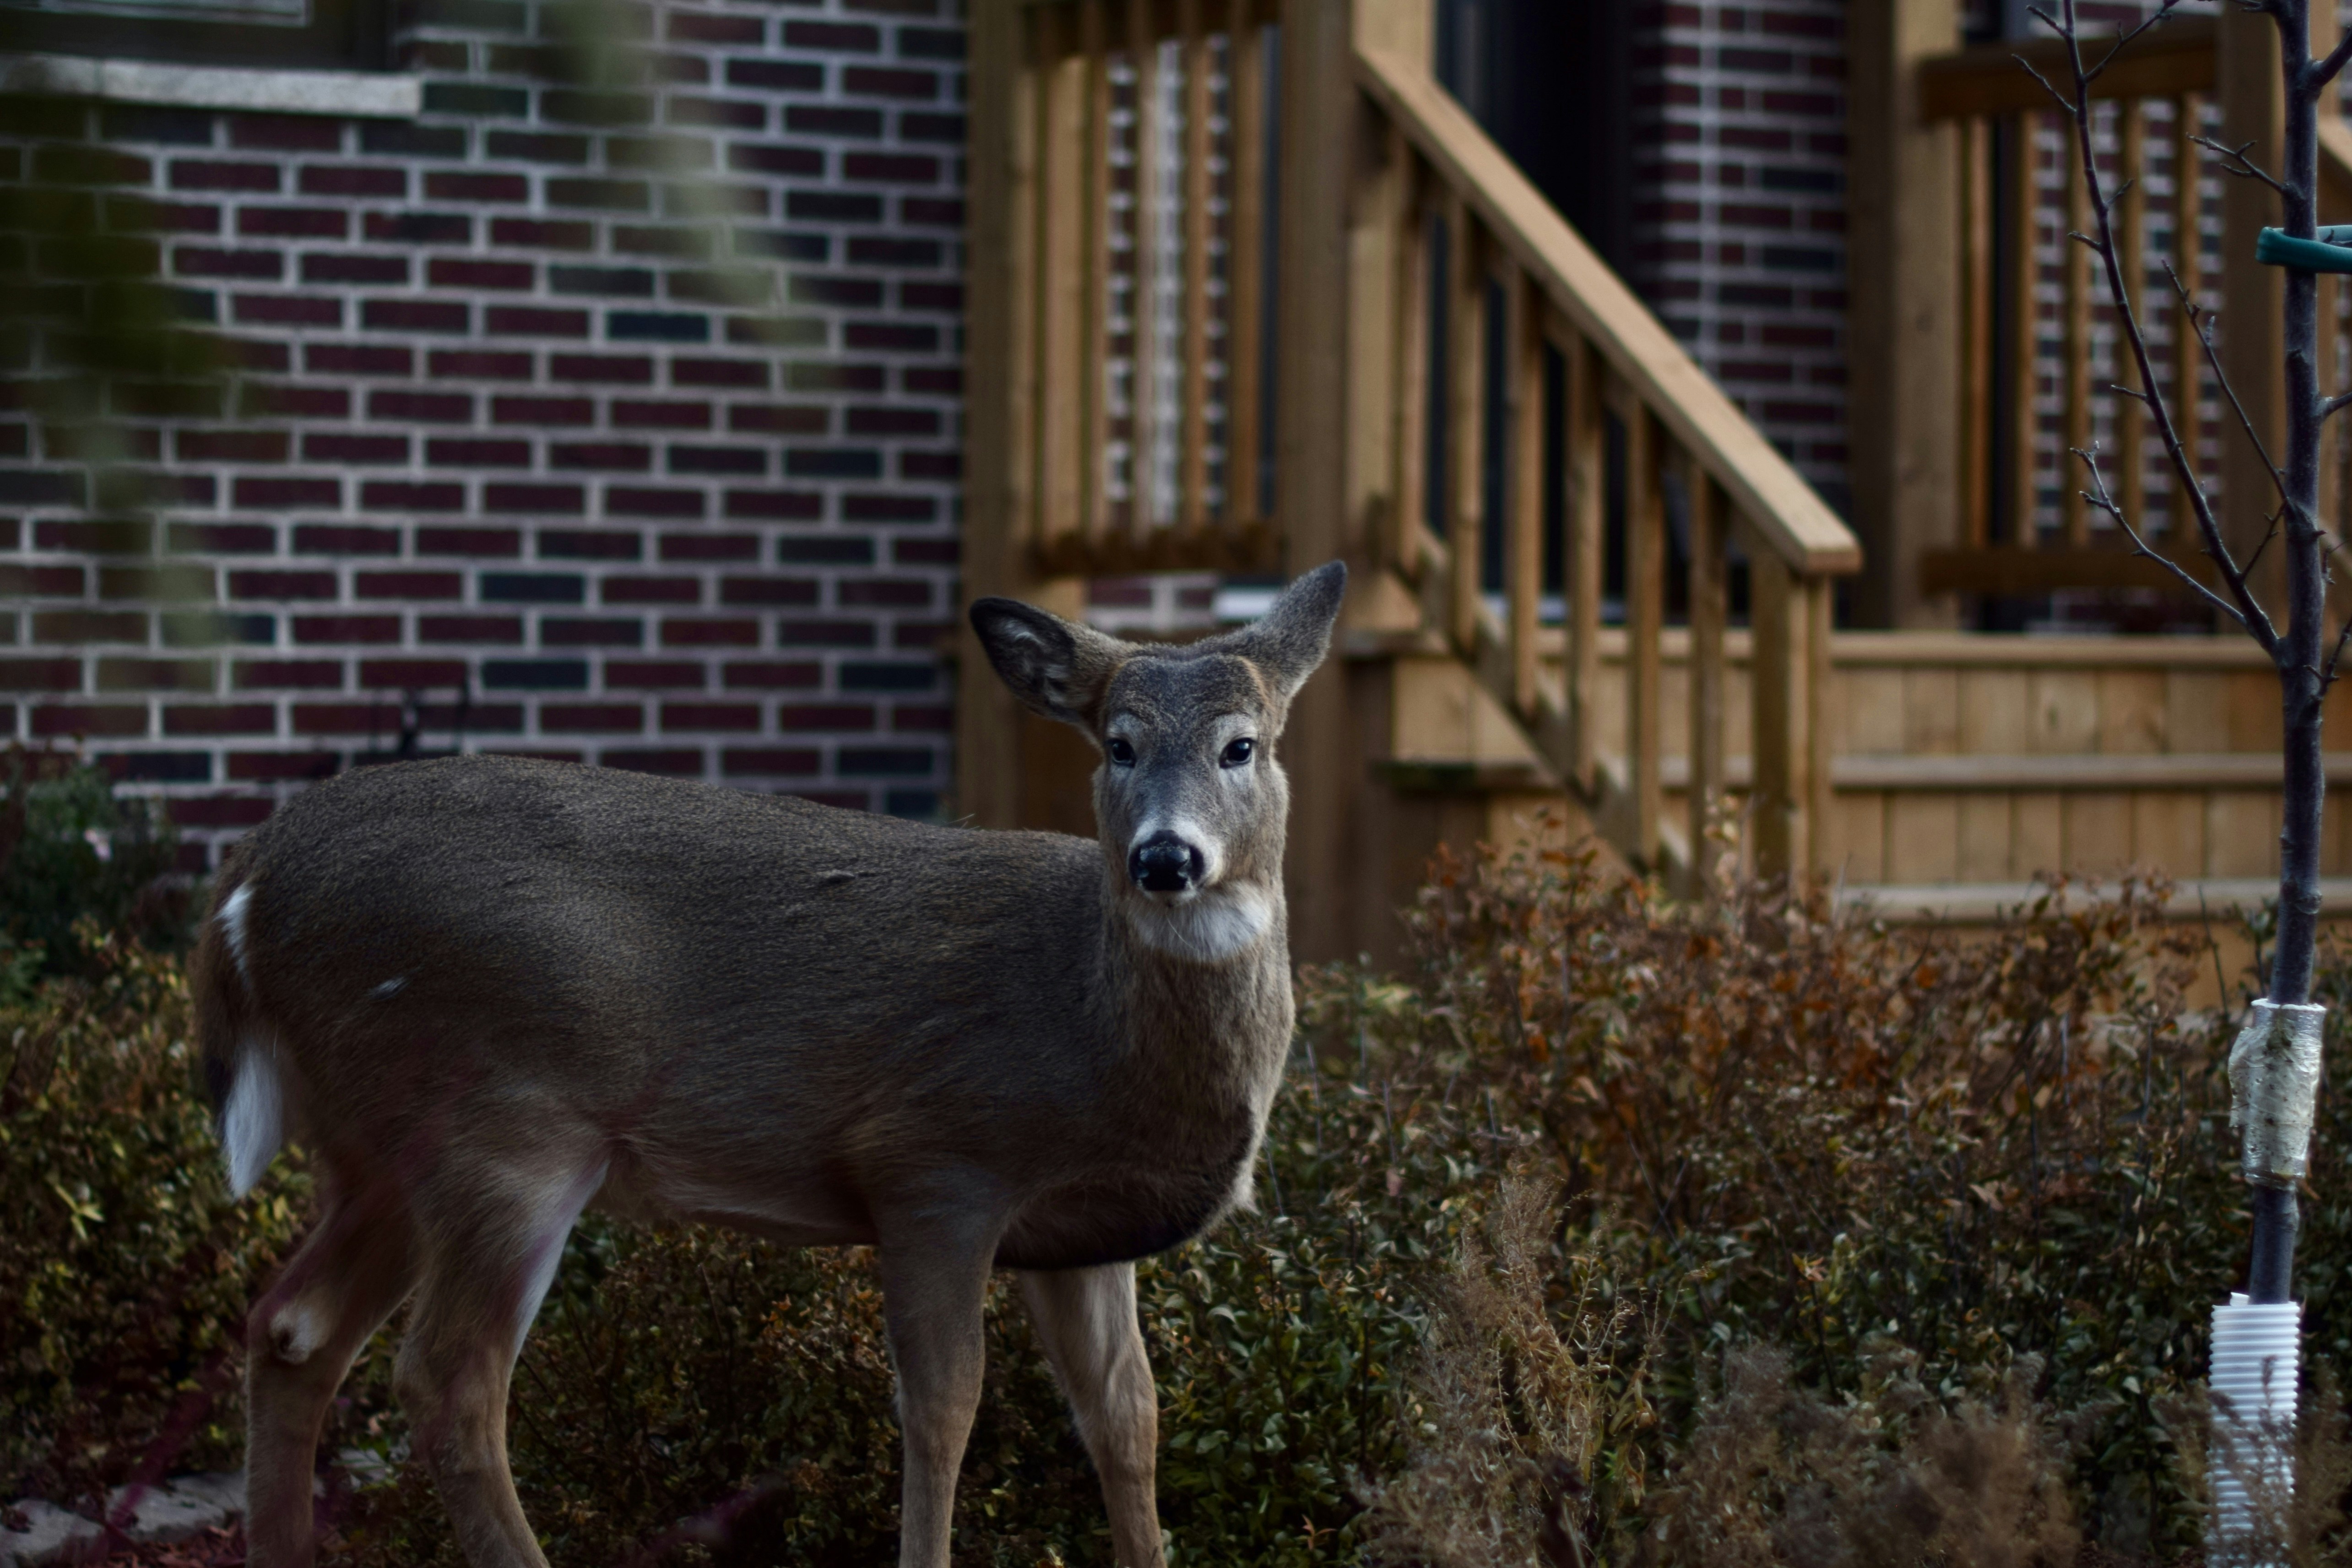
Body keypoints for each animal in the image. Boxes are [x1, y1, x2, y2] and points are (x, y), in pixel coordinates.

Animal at [191, 562, 1346, 1568]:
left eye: (1242, 745)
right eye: (1116, 743)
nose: (1166, 857)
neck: (1097, 1025)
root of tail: (247, 883)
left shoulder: (1081, 1236)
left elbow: (1126, 1417)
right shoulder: (934, 1160)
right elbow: (943, 1408)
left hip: (382, 1146)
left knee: (293, 1329)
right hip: (503, 1124)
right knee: (447, 1383)